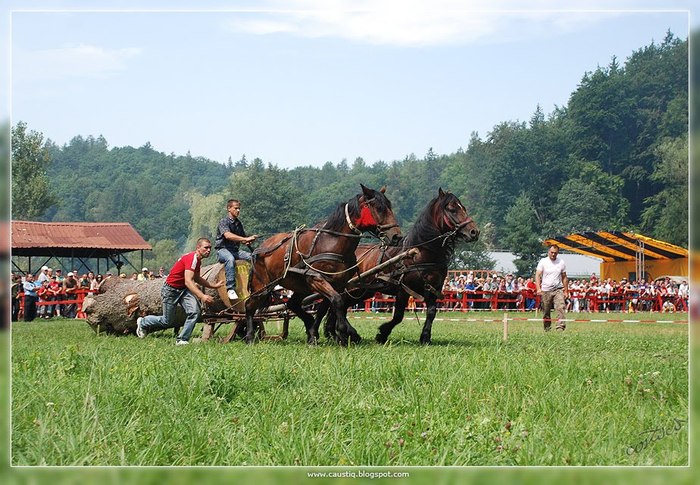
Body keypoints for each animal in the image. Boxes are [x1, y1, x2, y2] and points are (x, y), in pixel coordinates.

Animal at [245, 184, 400, 344]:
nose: (397, 236)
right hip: (262, 286)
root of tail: (259, 248)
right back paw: (249, 336)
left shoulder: (337, 284)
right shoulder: (317, 279)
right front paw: (343, 332)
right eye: (379, 208)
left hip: (300, 286)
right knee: (249, 306)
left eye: (389, 206)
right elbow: (337, 301)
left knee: (292, 304)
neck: (332, 243)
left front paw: (315, 334)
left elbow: (324, 308)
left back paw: (309, 324)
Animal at [320, 188, 478, 344]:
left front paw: (425, 337)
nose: (474, 232)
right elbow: (398, 316)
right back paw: (346, 334)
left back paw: (338, 334)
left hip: (362, 290)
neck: (420, 253)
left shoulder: (434, 289)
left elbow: (432, 312)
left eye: (463, 208)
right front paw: (382, 334)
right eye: (452, 209)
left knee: (337, 307)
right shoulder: (403, 289)